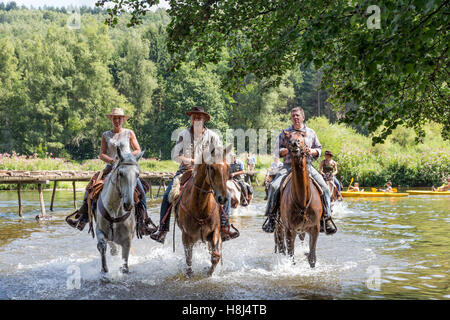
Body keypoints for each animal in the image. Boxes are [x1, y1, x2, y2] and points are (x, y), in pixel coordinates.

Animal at [95, 146, 143, 274]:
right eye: (120, 173)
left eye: (137, 174)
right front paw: (104, 269)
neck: (115, 210)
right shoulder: (99, 230)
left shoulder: (127, 240)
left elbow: (125, 263)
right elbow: (102, 245)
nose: (128, 204)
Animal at [176, 146, 232, 276]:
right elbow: (189, 261)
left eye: (228, 167)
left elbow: (215, 256)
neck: (200, 207)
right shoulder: (186, 237)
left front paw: (208, 272)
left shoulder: (214, 231)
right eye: (211, 167)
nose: (223, 198)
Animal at [274, 130, 324, 268]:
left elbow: (312, 258)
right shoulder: (289, 230)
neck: (302, 200)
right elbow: (291, 257)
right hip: (280, 228)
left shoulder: (315, 228)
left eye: (302, 136)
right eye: (288, 137)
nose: (294, 143)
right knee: (282, 248)